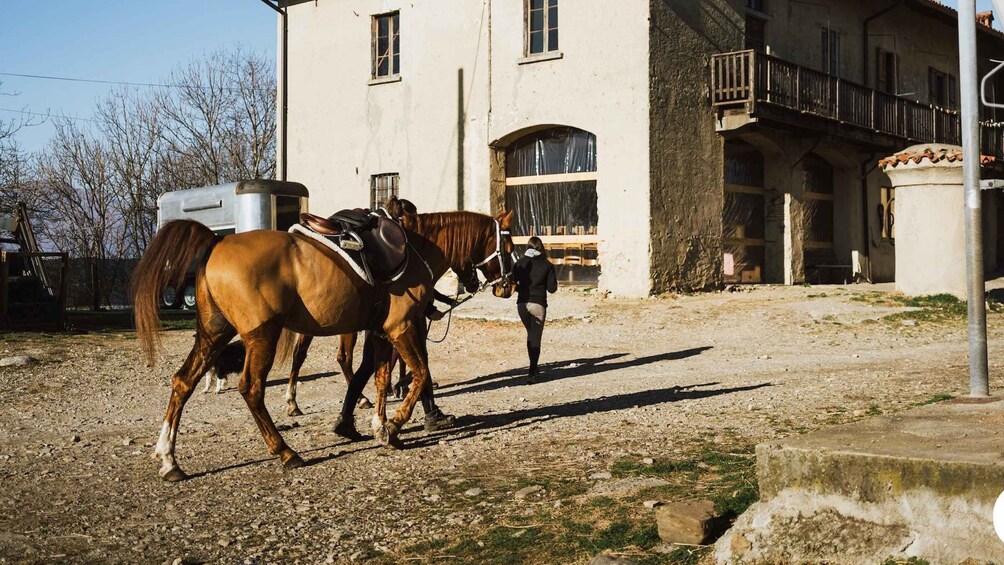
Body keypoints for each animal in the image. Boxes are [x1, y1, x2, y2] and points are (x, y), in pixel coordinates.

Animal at [131, 207, 518, 481]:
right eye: (509, 246)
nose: (509, 284)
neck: (414, 250)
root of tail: (217, 242)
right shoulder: (403, 328)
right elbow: (420, 374)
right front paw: (394, 426)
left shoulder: (381, 333)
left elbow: (380, 378)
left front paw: (379, 427)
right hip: (261, 336)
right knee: (251, 389)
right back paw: (285, 451)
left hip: (214, 335)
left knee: (183, 381)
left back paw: (169, 460)